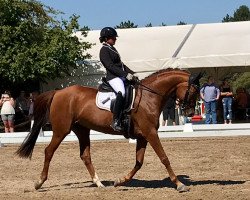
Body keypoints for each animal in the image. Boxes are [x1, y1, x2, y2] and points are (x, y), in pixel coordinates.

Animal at [16, 68, 200, 192]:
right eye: (194, 91)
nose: (190, 113)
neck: (149, 97)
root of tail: (58, 92)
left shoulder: (143, 136)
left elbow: (139, 162)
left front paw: (120, 181)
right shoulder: (150, 133)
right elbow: (164, 157)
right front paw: (179, 184)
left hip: (82, 130)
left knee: (85, 156)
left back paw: (99, 183)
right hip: (62, 130)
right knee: (49, 151)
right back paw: (39, 182)